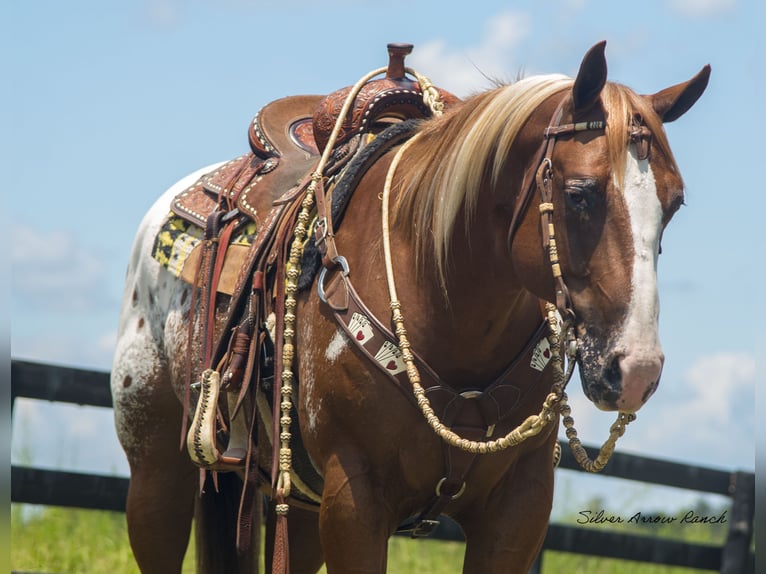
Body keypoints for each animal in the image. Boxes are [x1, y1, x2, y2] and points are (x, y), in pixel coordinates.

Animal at [111, 41, 712, 574]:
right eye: (579, 193)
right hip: (156, 472)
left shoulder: (518, 508)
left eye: (675, 203)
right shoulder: (355, 502)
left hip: (299, 505)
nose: (635, 370)